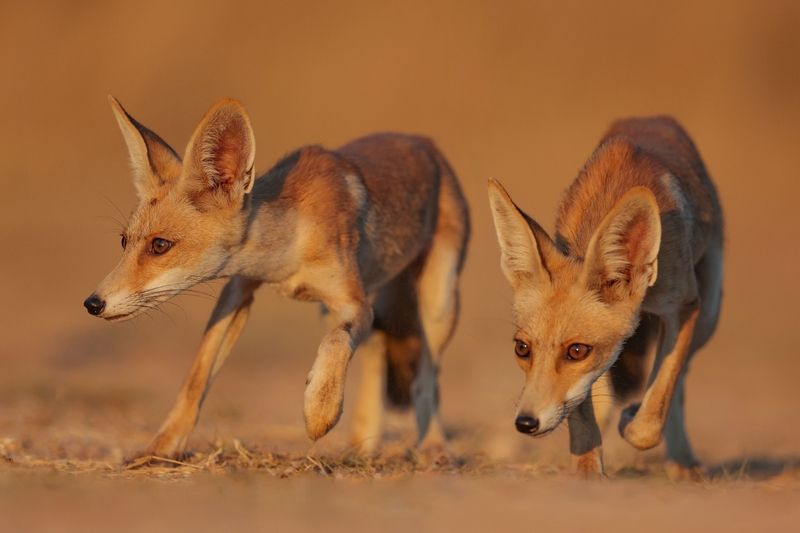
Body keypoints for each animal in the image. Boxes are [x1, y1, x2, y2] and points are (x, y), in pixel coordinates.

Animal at [83, 96, 469, 460]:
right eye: (124, 242)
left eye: (160, 245)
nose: (92, 303)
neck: (286, 257)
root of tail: (424, 141)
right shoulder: (238, 289)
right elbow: (196, 377)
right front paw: (161, 448)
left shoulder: (353, 302)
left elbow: (336, 343)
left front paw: (320, 411)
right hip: (349, 307)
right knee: (376, 358)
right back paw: (364, 446)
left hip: (437, 305)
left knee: (426, 378)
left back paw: (434, 447)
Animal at [487, 116, 723, 480]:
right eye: (522, 348)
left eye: (576, 351)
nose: (525, 423)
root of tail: (653, 117)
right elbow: (583, 412)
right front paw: (586, 469)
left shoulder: (684, 305)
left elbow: (652, 414)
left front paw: (633, 417)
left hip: (708, 315)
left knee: (679, 383)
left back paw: (681, 458)